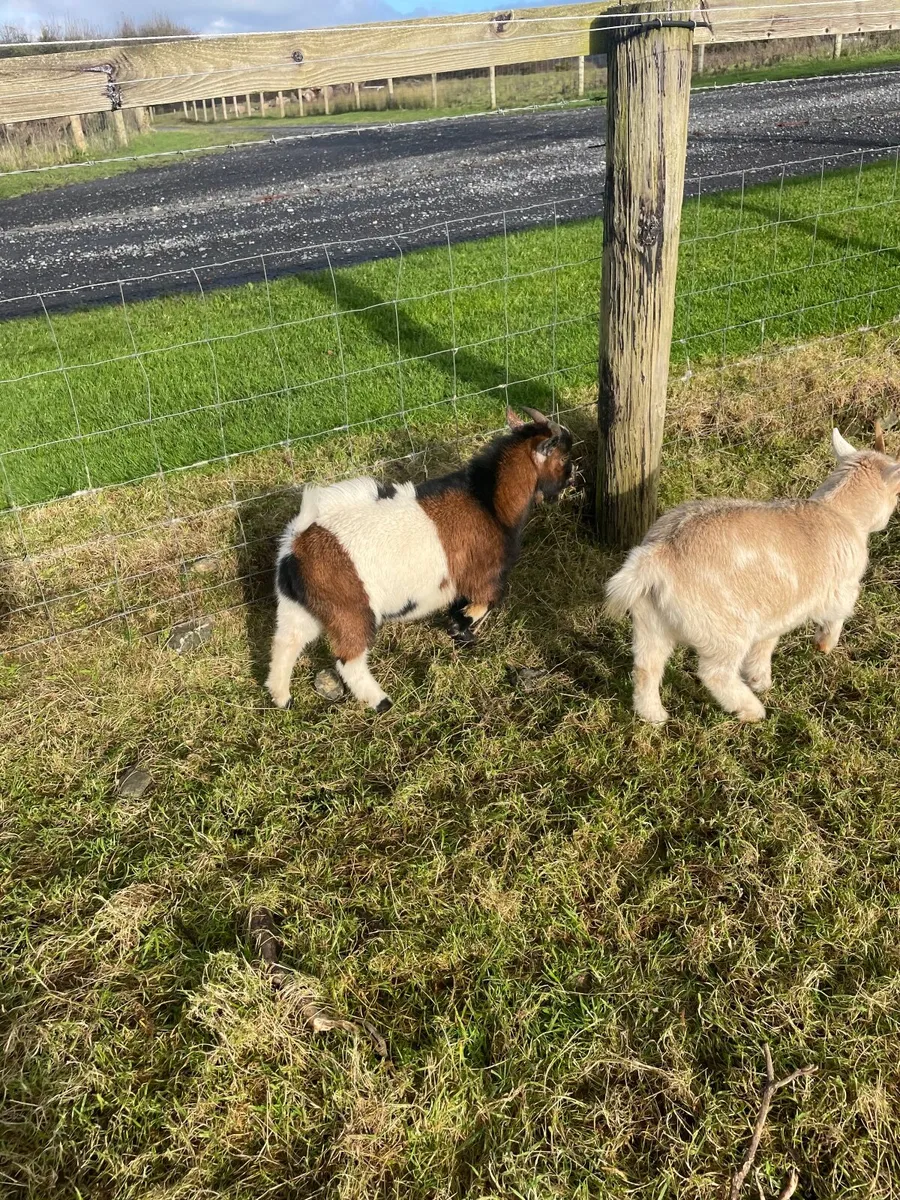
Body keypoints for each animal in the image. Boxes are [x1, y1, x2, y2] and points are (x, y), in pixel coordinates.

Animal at [266, 407, 574, 711]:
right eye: (563, 457)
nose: (570, 480)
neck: (489, 504)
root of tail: (297, 542)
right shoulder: (484, 576)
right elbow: (487, 603)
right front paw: (460, 627)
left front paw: (462, 634)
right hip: (351, 611)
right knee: (348, 659)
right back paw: (380, 701)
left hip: (300, 606)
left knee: (286, 642)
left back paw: (282, 698)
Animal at [604, 424, 900, 724]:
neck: (840, 511)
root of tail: (658, 555)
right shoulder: (842, 588)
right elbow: (836, 617)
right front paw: (824, 646)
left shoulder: (777, 610)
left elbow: (766, 642)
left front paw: (759, 679)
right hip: (725, 629)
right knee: (714, 674)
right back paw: (751, 710)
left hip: (650, 620)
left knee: (646, 666)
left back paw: (653, 715)